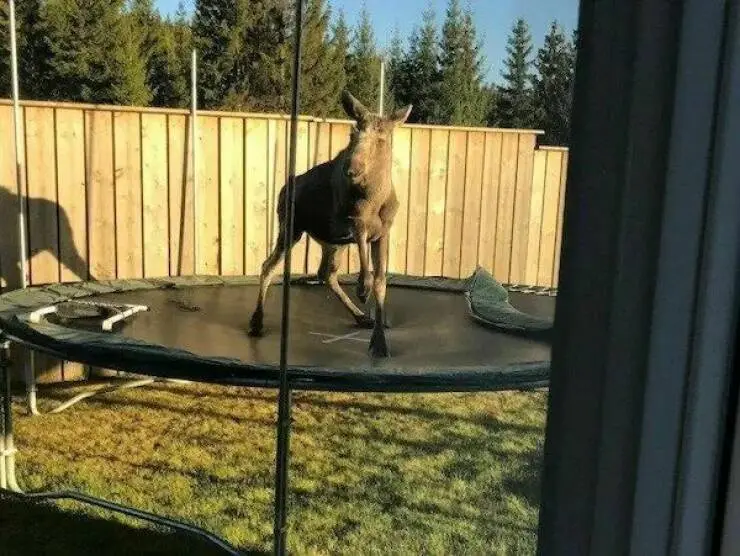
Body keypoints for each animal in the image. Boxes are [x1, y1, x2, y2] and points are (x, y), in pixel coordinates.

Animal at [247, 90, 412, 358]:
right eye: (353, 134)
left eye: (381, 139)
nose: (351, 169)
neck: (374, 198)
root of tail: (284, 187)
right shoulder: (355, 224)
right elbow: (366, 270)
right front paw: (363, 289)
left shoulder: (383, 232)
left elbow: (381, 282)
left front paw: (379, 340)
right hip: (291, 227)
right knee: (269, 265)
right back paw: (256, 321)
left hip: (330, 242)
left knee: (326, 274)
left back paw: (360, 317)